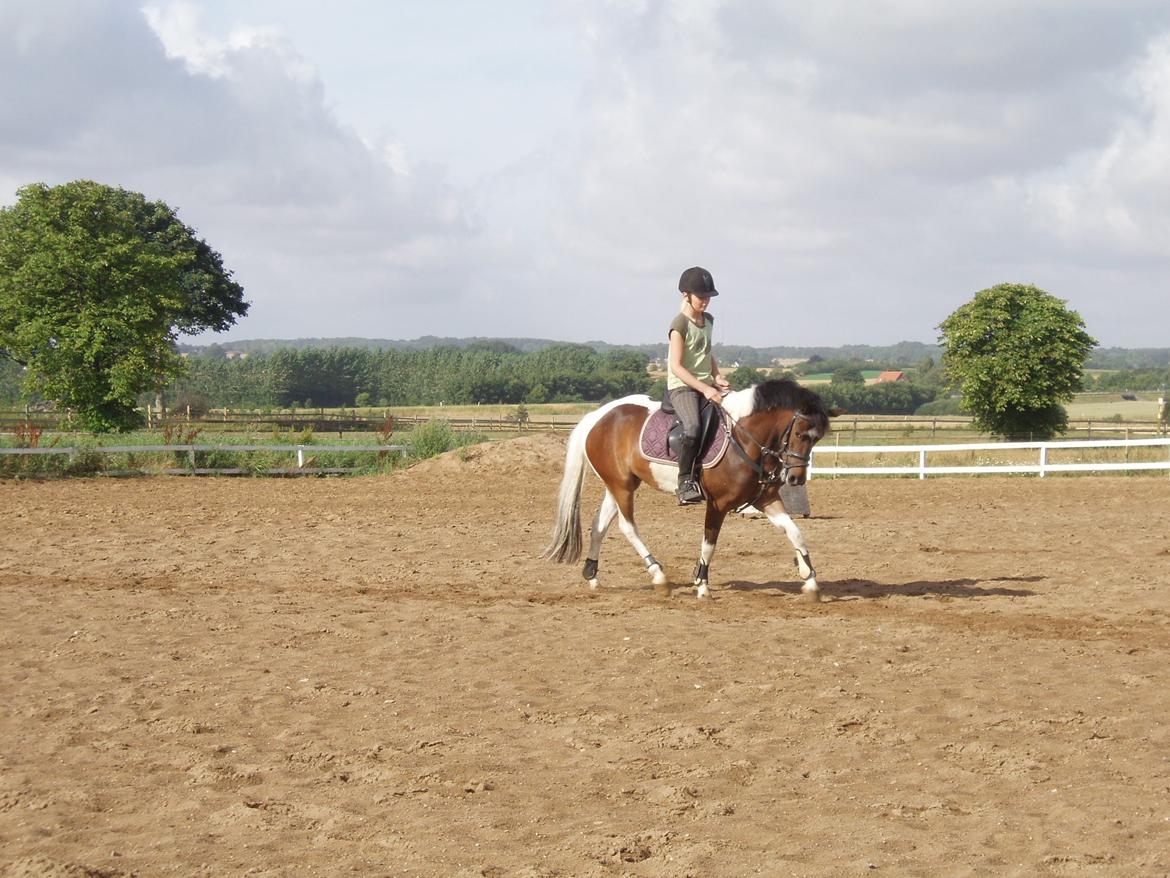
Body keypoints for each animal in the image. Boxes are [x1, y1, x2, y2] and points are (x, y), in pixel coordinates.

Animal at [542, 381, 837, 604]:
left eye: (817, 438)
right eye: (800, 434)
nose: (796, 479)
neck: (745, 437)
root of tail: (598, 416)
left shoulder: (766, 499)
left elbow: (796, 533)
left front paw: (810, 581)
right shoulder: (718, 504)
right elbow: (709, 543)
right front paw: (702, 585)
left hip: (619, 485)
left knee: (599, 525)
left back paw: (592, 575)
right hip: (621, 486)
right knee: (627, 527)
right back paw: (659, 577)